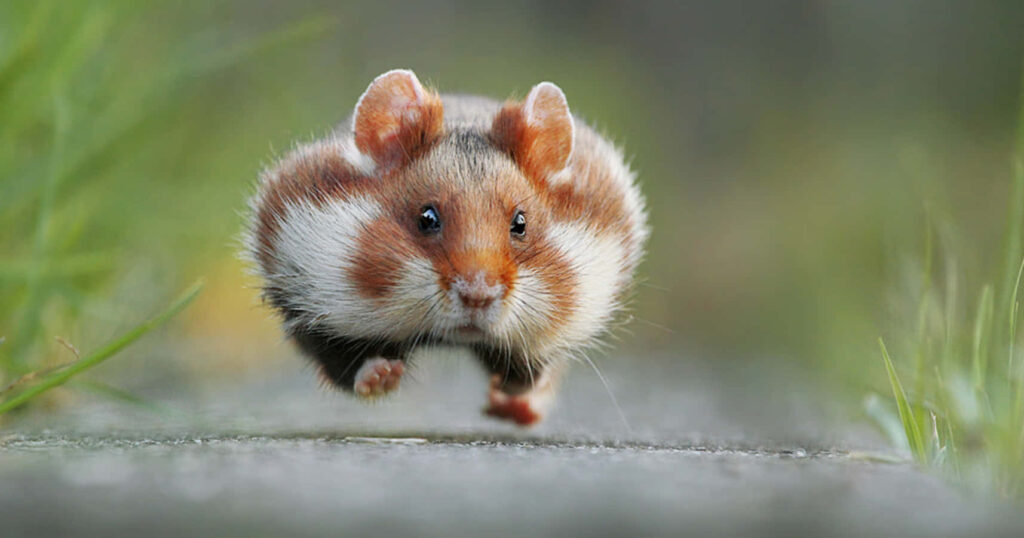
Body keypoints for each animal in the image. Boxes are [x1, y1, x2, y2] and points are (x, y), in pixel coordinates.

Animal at [244, 69, 648, 426]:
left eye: (520, 224)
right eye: (427, 218)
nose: (478, 296)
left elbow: (527, 372)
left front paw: (507, 389)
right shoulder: (309, 304)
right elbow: (346, 365)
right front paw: (384, 375)